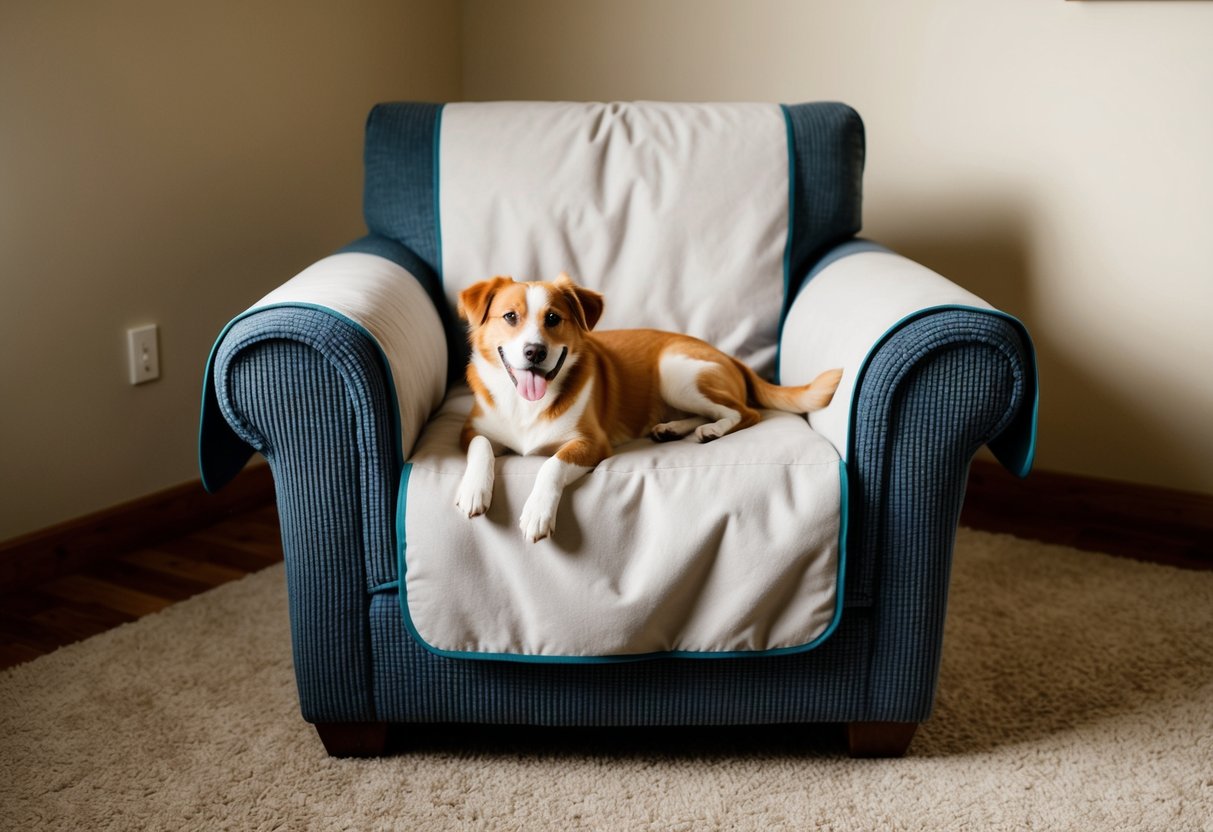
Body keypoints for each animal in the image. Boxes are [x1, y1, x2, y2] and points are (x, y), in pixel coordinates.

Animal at [456, 274, 844, 543]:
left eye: (553, 318)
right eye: (510, 316)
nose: (534, 352)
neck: (525, 404)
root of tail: (729, 356)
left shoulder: (591, 443)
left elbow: (551, 465)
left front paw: (538, 511)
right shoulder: (471, 430)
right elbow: (481, 447)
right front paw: (474, 488)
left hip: (676, 372)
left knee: (745, 413)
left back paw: (711, 430)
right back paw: (674, 428)